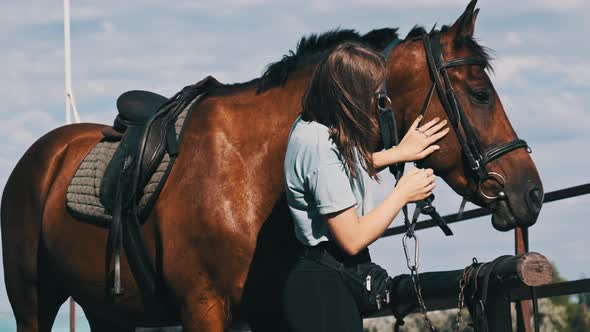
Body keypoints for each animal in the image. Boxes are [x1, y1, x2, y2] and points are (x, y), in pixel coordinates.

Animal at [1, 1, 544, 330]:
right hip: (32, 303)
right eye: (480, 94)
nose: (532, 192)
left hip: (108, 309)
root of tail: (42, 156)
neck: (252, 171)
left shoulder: (266, 310)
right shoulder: (203, 310)